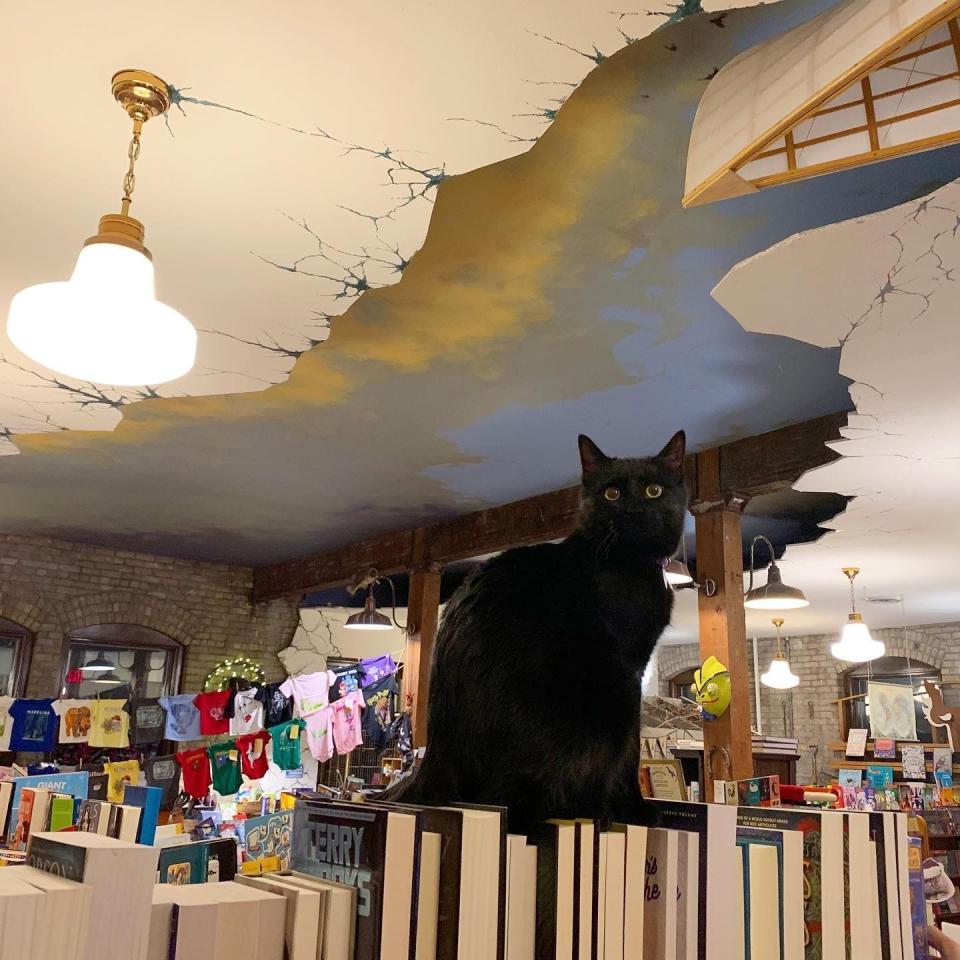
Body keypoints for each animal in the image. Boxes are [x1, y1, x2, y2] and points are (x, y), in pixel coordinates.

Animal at [390, 432, 688, 828]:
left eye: (654, 490)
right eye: (612, 494)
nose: (634, 511)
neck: (632, 567)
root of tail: (439, 753)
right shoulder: (629, 672)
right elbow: (630, 749)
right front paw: (634, 808)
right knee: (511, 802)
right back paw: (592, 809)